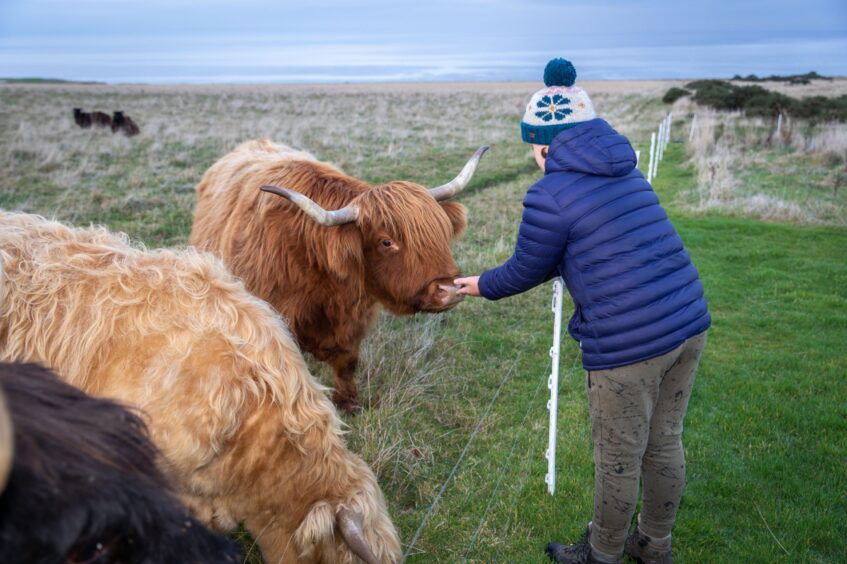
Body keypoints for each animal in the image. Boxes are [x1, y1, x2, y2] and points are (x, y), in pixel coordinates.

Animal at [189, 139, 486, 412]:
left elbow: (347, 363)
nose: (449, 290)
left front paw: (348, 403)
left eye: (442, 231)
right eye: (386, 242)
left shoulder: (354, 320)